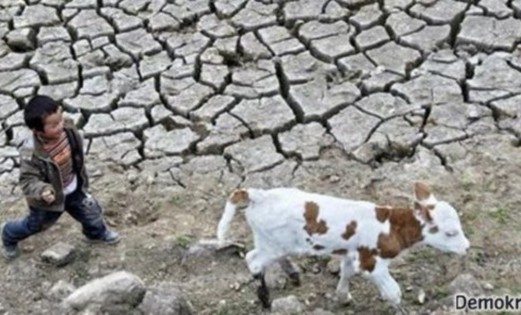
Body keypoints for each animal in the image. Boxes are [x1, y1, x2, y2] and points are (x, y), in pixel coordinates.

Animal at [215, 183, 472, 314]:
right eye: (451, 232)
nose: (467, 247)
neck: (391, 226)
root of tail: (259, 194)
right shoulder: (372, 263)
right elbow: (394, 293)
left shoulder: (352, 254)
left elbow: (346, 273)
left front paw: (342, 296)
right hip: (273, 244)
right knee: (253, 260)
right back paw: (265, 298)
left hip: (272, 242)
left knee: (267, 257)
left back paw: (293, 274)